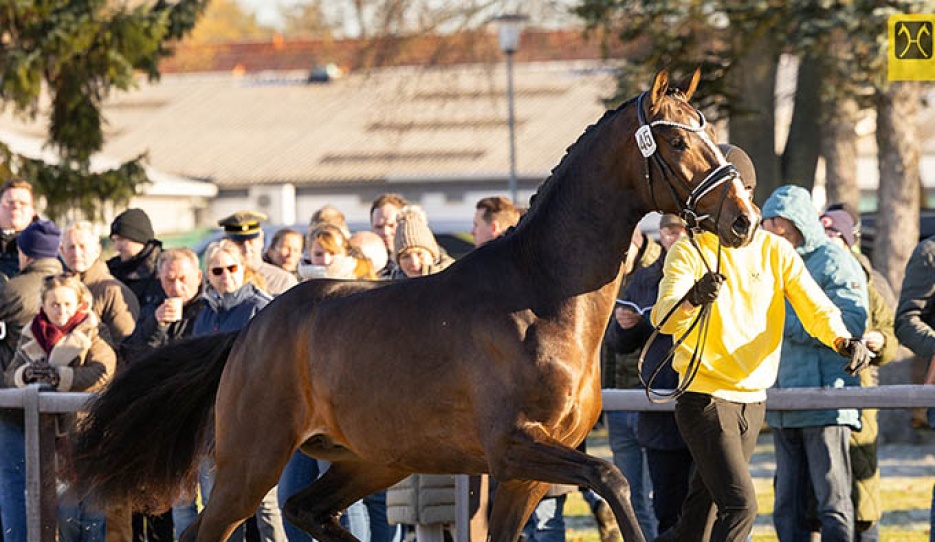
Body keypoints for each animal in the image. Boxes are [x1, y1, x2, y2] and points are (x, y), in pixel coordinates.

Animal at [73, 68, 760, 542]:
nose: (744, 220)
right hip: (253, 460)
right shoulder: (514, 447)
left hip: (370, 460)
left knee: (304, 510)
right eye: (677, 143)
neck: (541, 300)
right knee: (213, 528)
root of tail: (251, 328)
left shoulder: (528, 472)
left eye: (710, 134)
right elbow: (615, 479)